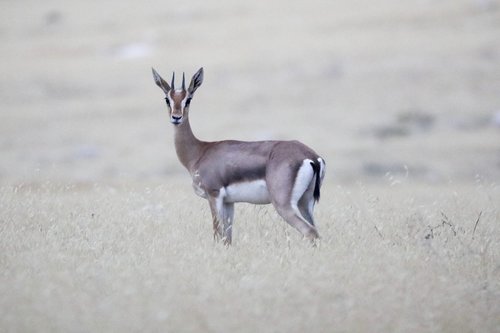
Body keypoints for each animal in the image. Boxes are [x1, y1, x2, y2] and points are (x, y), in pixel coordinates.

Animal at [150, 67, 326, 244]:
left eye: (188, 99)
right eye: (167, 99)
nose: (176, 117)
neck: (200, 151)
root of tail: (311, 157)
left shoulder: (214, 195)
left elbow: (217, 235)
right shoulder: (229, 202)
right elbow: (227, 239)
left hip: (284, 205)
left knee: (310, 231)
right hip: (305, 203)